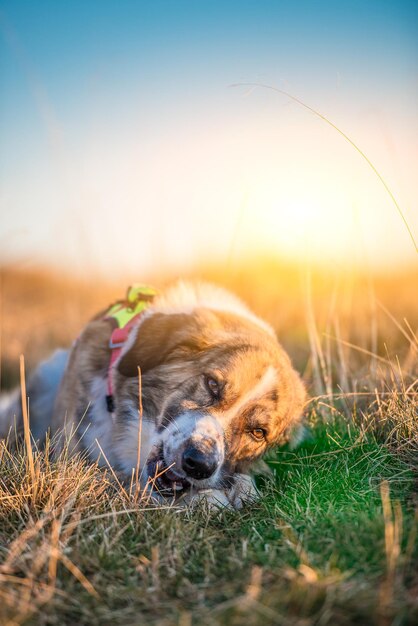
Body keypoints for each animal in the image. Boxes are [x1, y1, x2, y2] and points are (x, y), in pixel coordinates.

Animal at [0, 282, 306, 508]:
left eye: (258, 432)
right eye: (211, 384)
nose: (198, 464)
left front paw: (242, 485)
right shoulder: (72, 459)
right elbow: (113, 478)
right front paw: (207, 498)